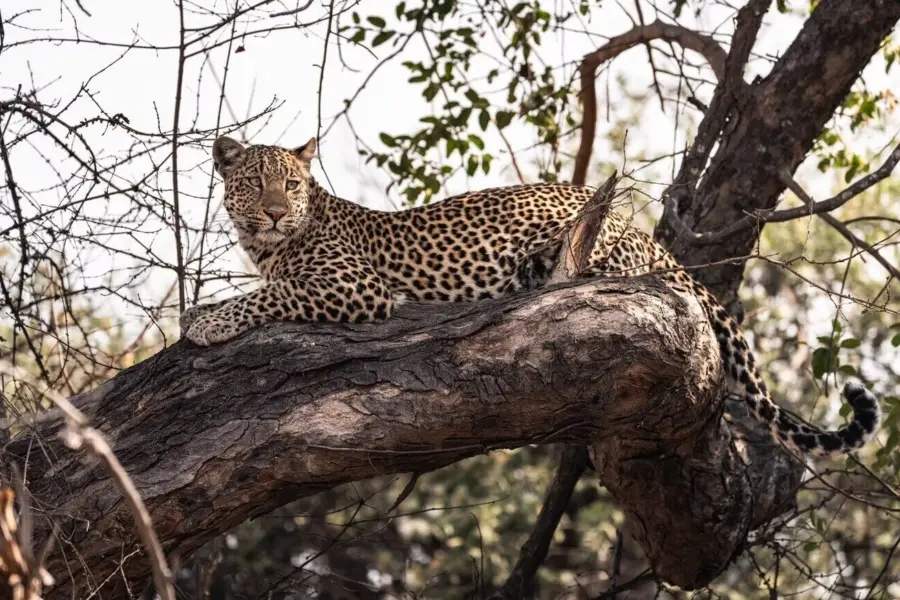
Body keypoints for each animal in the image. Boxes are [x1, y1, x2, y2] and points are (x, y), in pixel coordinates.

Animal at [180, 135, 882, 458]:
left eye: (292, 185)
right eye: (254, 183)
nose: (275, 212)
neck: (268, 245)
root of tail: (652, 241)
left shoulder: (353, 287)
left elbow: (269, 296)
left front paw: (204, 320)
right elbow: (267, 290)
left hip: (590, 239)